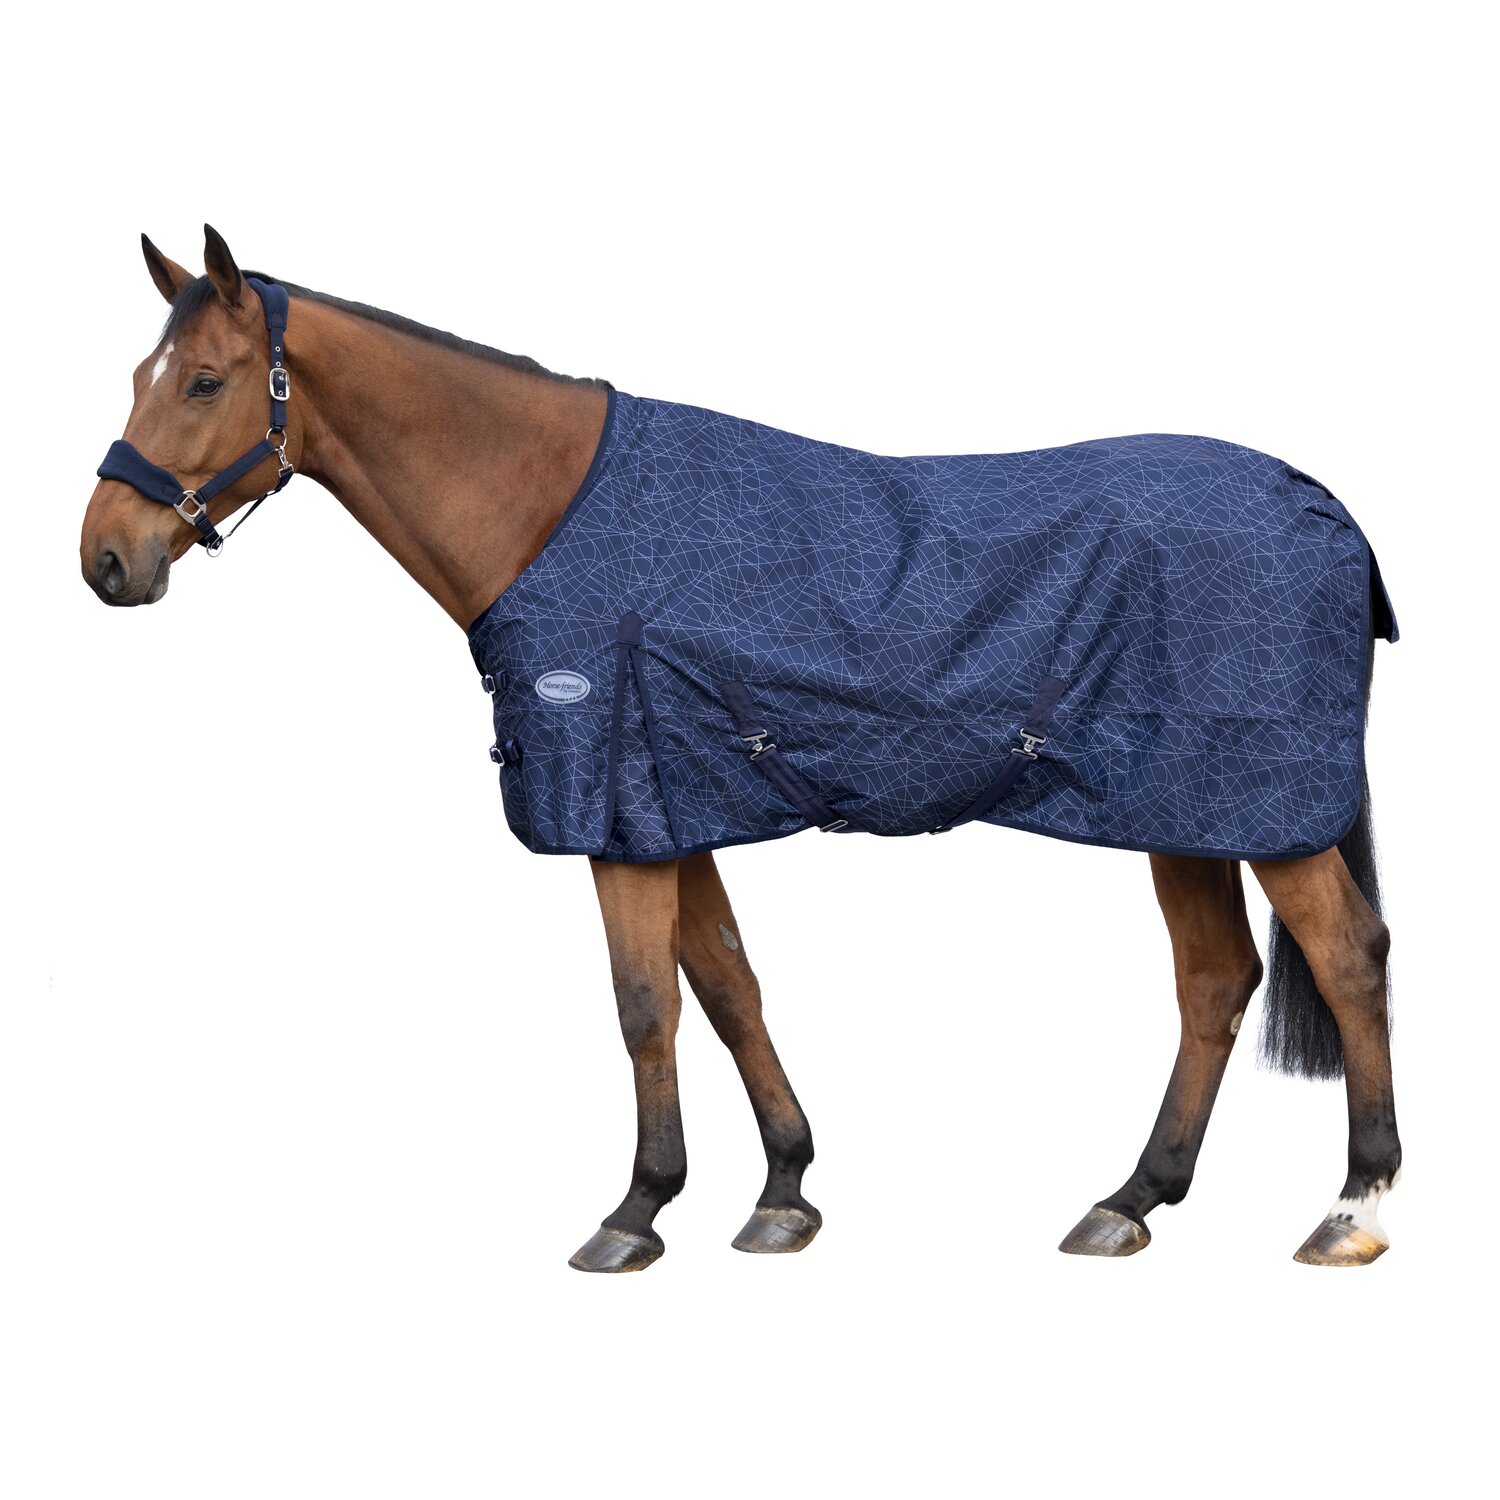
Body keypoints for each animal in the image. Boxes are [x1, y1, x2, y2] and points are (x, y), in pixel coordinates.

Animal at [80, 226, 1401, 1272]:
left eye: (204, 381)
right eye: (145, 374)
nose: (105, 558)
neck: (557, 511)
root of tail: (1323, 502)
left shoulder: (619, 816)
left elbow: (642, 1006)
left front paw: (636, 1210)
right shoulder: (673, 806)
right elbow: (724, 985)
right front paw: (783, 1192)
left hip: (1261, 811)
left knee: (1346, 957)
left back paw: (1354, 1207)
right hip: (1187, 810)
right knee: (1215, 981)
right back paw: (1131, 1201)